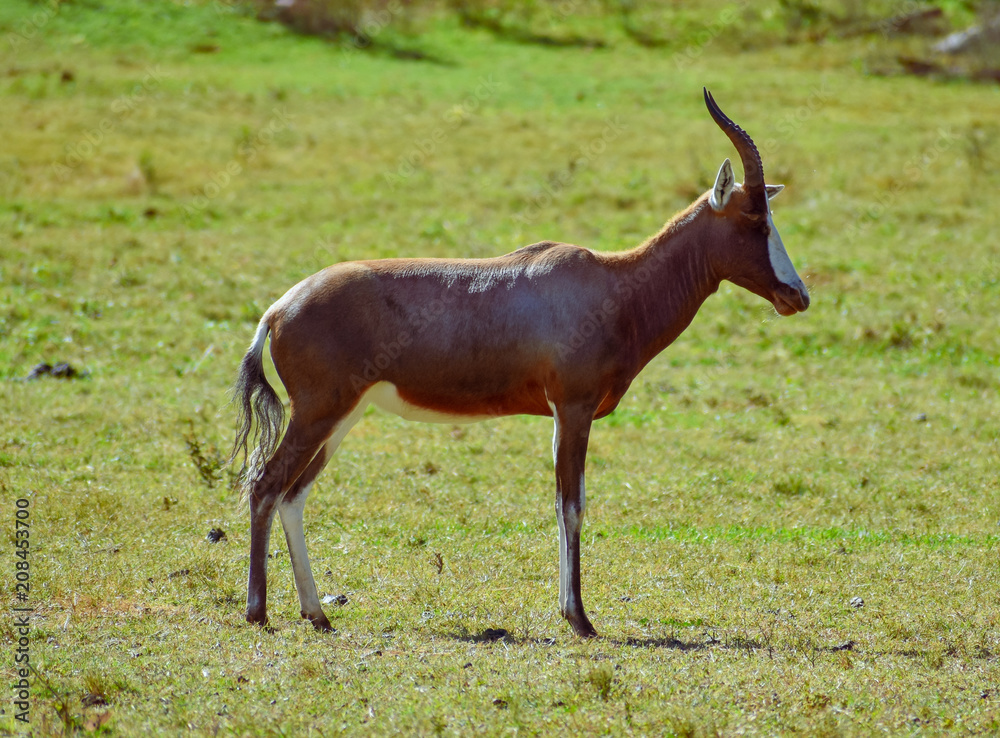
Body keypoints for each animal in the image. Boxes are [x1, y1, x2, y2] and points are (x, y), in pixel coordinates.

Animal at [231, 89, 809, 638]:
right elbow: (572, 505)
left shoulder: (561, 414)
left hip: (341, 417)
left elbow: (562, 504)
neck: (613, 282)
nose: (797, 296)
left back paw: (316, 614)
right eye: (754, 220)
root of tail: (278, 308)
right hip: (318, 413)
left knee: (293, 495)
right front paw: (580, 619)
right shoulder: (573, 408)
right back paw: (259, 612)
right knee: (265, 485)